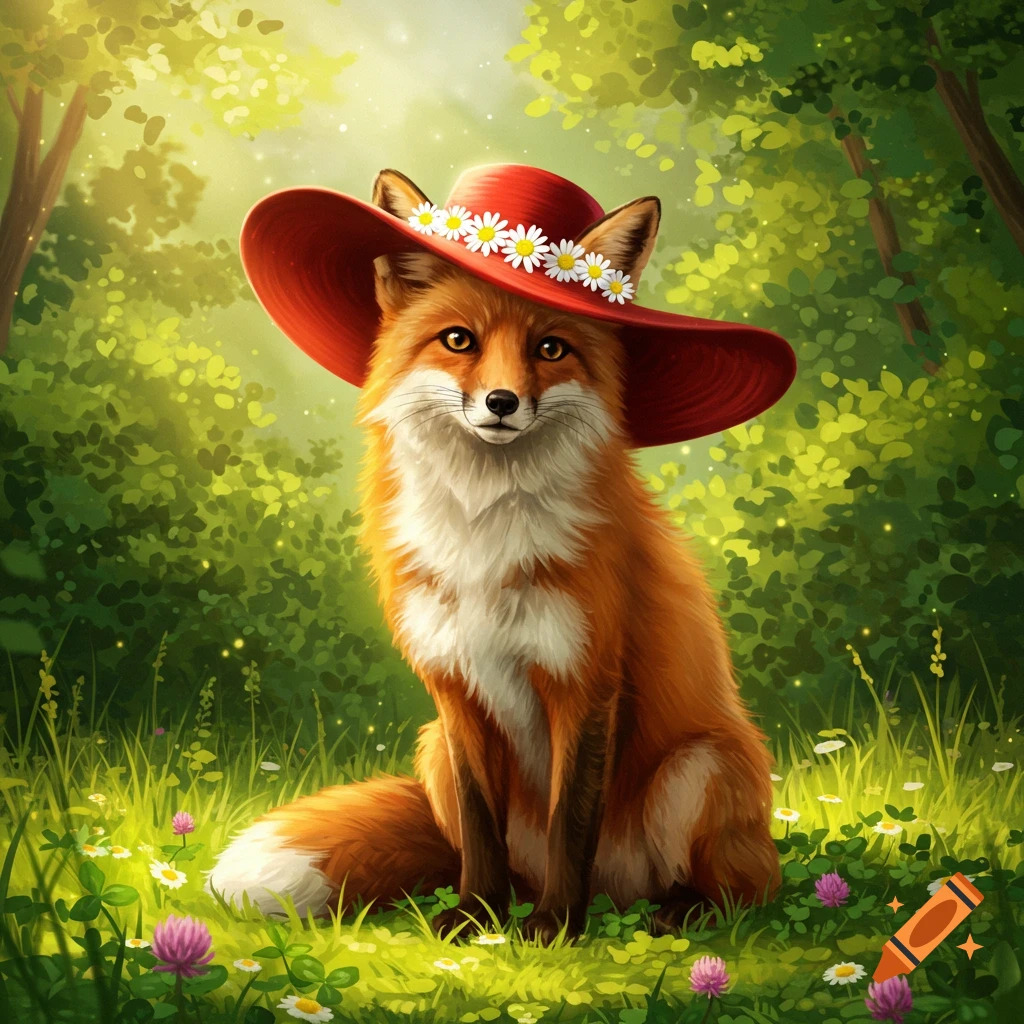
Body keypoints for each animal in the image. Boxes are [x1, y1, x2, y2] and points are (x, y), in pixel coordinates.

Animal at [207, 168, 781, 942]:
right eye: (459, 340)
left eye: (551, 349)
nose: (502, 402)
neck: (484, 532)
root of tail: (619, 891)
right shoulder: (454, 687)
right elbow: (481, 828)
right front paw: (476, 916)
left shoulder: (585, 682)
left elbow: (573, 818)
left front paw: (557, 928)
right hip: (432, 750)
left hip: (697, 768)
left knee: (742, 890)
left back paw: (668, 910)